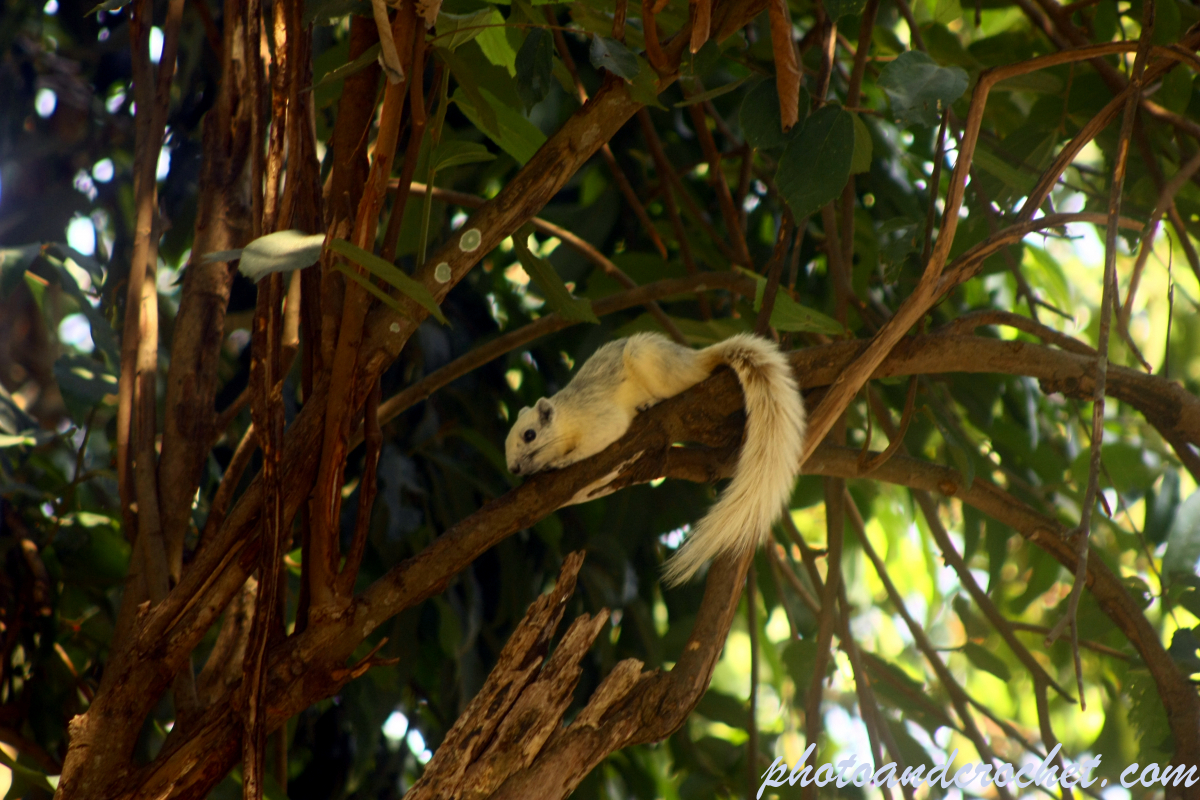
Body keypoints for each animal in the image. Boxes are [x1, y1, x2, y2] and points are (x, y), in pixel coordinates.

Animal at [505, 332, 806, 585]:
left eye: (530, 435)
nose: (514, 468)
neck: (567, 417)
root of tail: (694, 357)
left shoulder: (599, 418)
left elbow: (602, 436)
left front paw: (562, 462)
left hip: (651, 362)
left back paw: (652, 402)